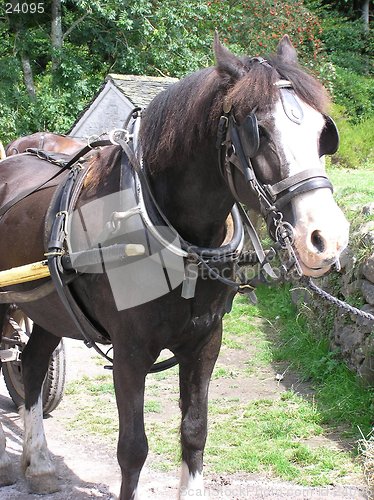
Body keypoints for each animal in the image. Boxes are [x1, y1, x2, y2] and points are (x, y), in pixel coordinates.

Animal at [0, 36, 348, 500]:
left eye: (321, 133)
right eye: (258, 131)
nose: (327, 239)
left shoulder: (205, 341)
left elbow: (195, 431)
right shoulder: (130, 352)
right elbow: (133, 449)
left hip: (48, 306)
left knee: (34, 362)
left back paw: (38, 463)